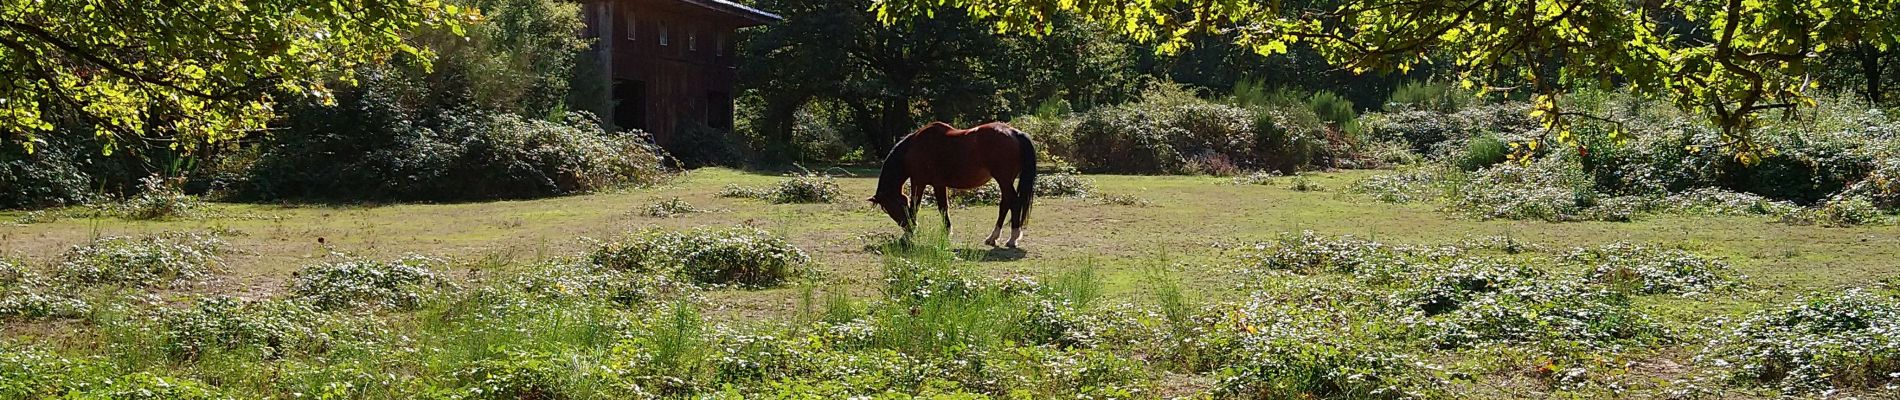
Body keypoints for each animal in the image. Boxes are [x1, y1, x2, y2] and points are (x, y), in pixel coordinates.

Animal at [870, 120, 1041, 248]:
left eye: (888, 207)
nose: (907, 226)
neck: (914, 148)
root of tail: (1014, 132)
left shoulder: (919, 181)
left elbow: (916, 206)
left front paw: (908, 235)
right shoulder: (938, 184)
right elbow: (943, 207)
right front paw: (946, 231)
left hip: (1003, 179)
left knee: (1014, 202)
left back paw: (1012, 239)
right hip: (1005, 181)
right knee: (1006, 203)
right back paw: (993, 237)